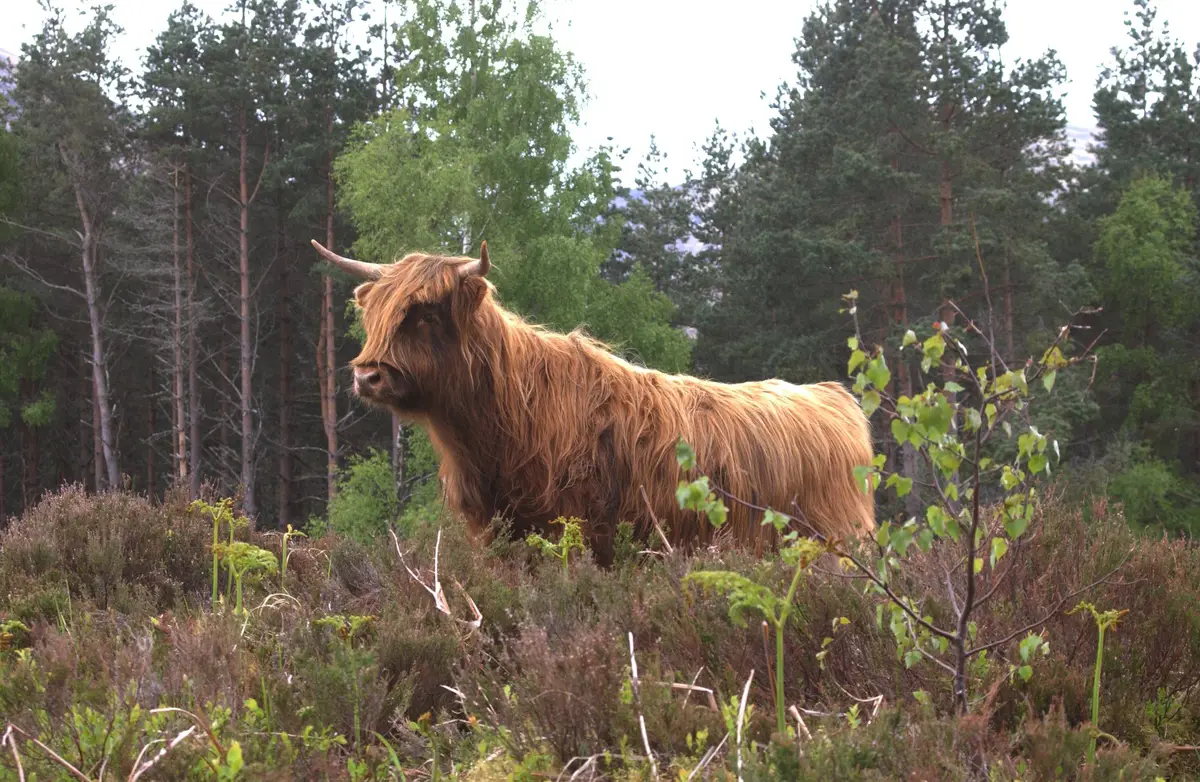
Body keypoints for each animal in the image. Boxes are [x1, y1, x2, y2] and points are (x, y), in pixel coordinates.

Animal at [312, 239, 876, 566]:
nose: (367, 375)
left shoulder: (574, 530)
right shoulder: (494, 533)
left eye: (426, 315)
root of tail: (831, 396)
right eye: (374, 314)